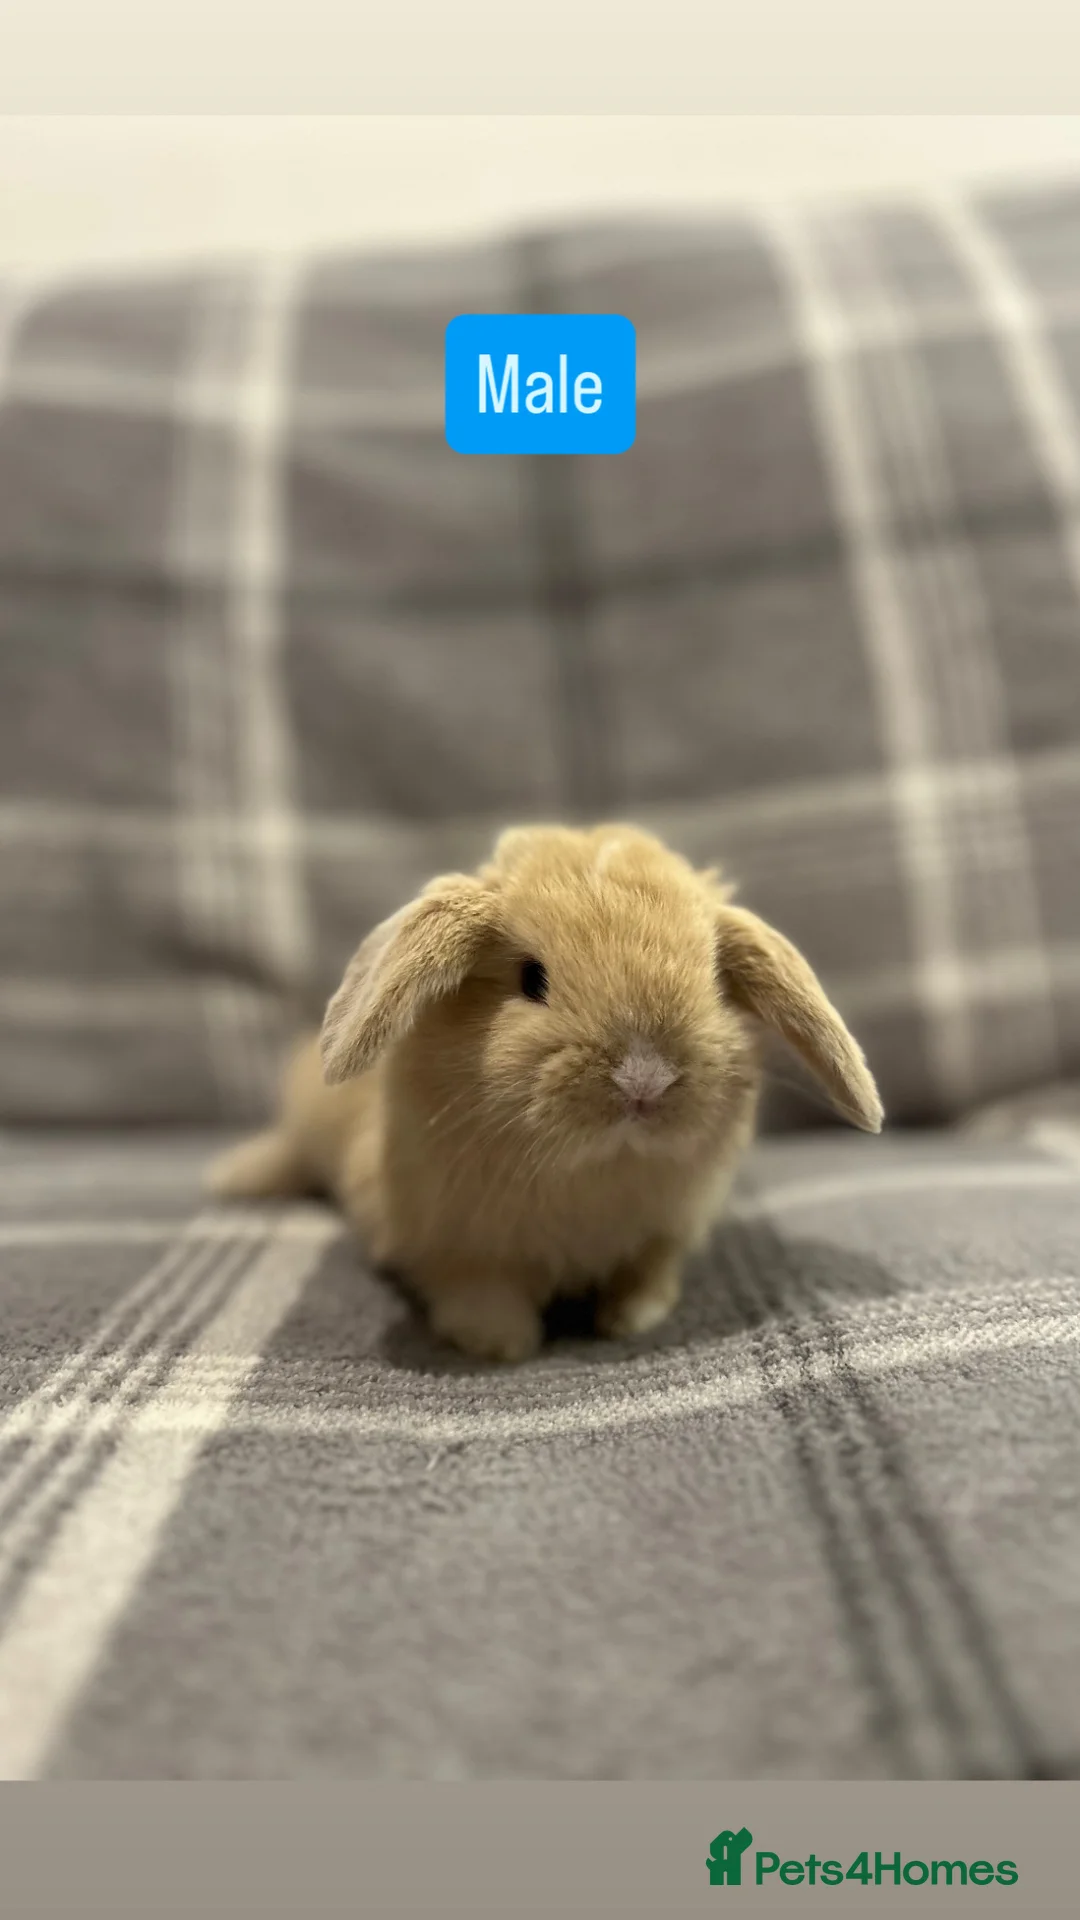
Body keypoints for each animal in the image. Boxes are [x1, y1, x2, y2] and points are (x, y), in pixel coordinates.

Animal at [208, 822, 882, 1362]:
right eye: (532, 979)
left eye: (716, 981)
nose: (644, 1078)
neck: (592, 1174)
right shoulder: (453, 1248)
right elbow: (479, 1294)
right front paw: (501, 1345)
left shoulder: (661, 1236)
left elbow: (647, 1277)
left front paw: (630, 1322)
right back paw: (234, 1177)